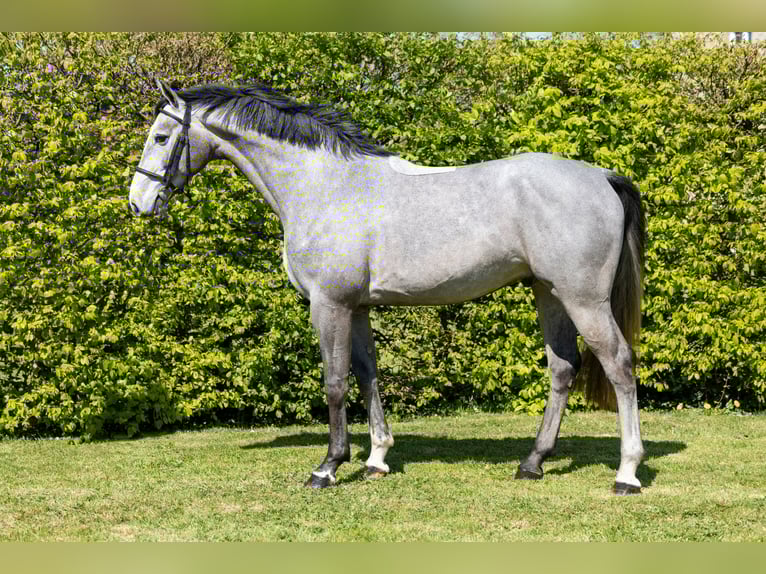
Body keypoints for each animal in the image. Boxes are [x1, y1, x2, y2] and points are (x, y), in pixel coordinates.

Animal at [129, 79, 646, 494]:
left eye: (160, 136)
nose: (138, 203)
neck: (325, 186)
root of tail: (602, 176)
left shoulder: (329, 305)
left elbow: (335, 383)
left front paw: (328, 467)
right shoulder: (356, 307)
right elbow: (367, 373)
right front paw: (377, 458)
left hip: (584, 301)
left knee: (619, 365)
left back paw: (627, 473)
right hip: (549, 294)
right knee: (563, 369)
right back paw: (533, 462)